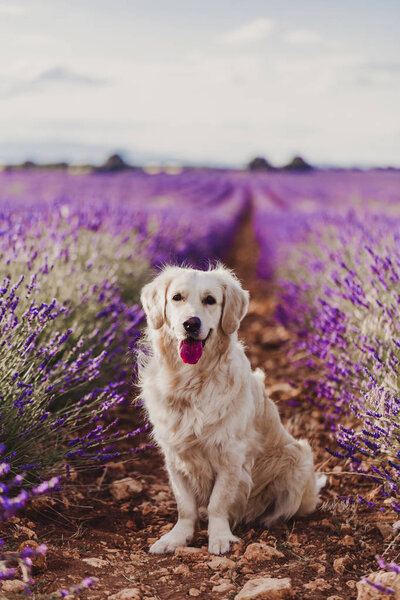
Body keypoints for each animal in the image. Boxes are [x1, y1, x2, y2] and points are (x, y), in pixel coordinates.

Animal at [138, 264, 324, 556]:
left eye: (210, 300)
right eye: (177, 297)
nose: (191, 323)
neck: (191, 382)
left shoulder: (230, 455)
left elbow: (218, 502)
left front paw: (220, 537)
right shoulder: (174, 454)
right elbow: (185, 506)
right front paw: (176, 538)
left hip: (298, 458)